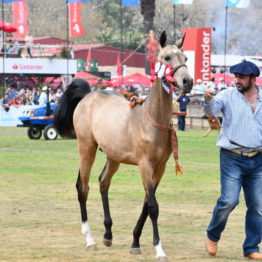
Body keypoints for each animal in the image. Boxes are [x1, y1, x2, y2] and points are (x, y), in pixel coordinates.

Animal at [54, 31, 192, 260]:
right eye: (167, 57)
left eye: (186, 58)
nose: (187, 81)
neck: (151, 121)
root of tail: (89, 96)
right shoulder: (145, 166)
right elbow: (153, 206)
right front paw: (159, 249)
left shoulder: (159, 168)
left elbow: (146, 204)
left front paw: (135, 242)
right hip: (87, 148)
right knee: (83, 187)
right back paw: (90, 239)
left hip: (113, 156)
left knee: (103, 182)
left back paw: (108, 233)